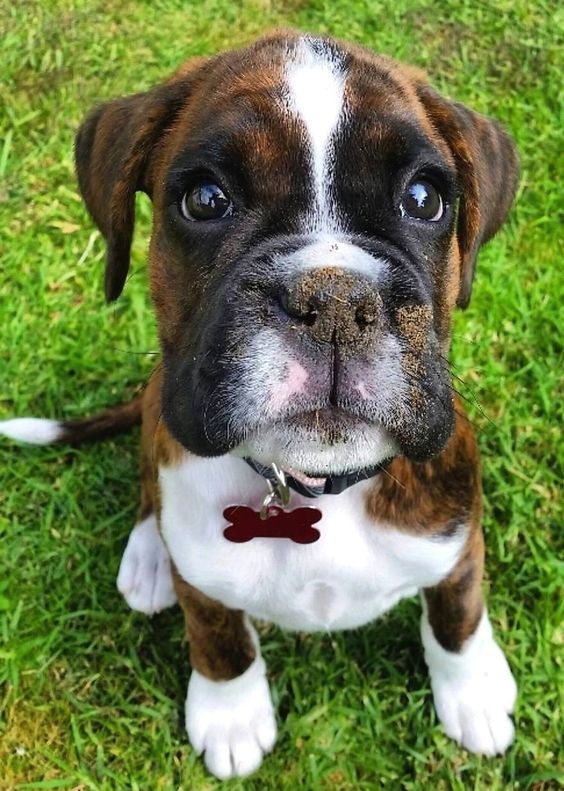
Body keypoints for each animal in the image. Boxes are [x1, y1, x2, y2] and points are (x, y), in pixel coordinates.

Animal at [1, 31, 520, 780]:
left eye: (425, 199)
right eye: (205, 199)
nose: (335, 302)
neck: (313, 487)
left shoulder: (456, 542)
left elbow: (457, 614)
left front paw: (473, 690)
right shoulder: (209, 591)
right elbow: (221, 638)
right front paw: (230, 713)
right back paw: (150, 556)